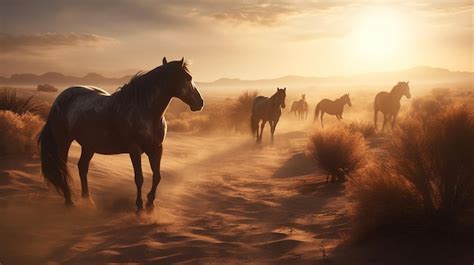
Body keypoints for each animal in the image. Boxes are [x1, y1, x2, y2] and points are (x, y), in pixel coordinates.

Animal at [39, 57, 204, 210]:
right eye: (188, 78)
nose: (200, 103)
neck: (146, 110)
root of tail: (59, 100)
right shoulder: (135, 150)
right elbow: (139, 178)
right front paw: (139, 205)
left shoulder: (156, 148)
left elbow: (157, 176)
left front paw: (150, 203)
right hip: (63, 142)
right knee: (63, 167)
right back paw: (69, 201)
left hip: (89, 145)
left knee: (82, 167)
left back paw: (88, 201)